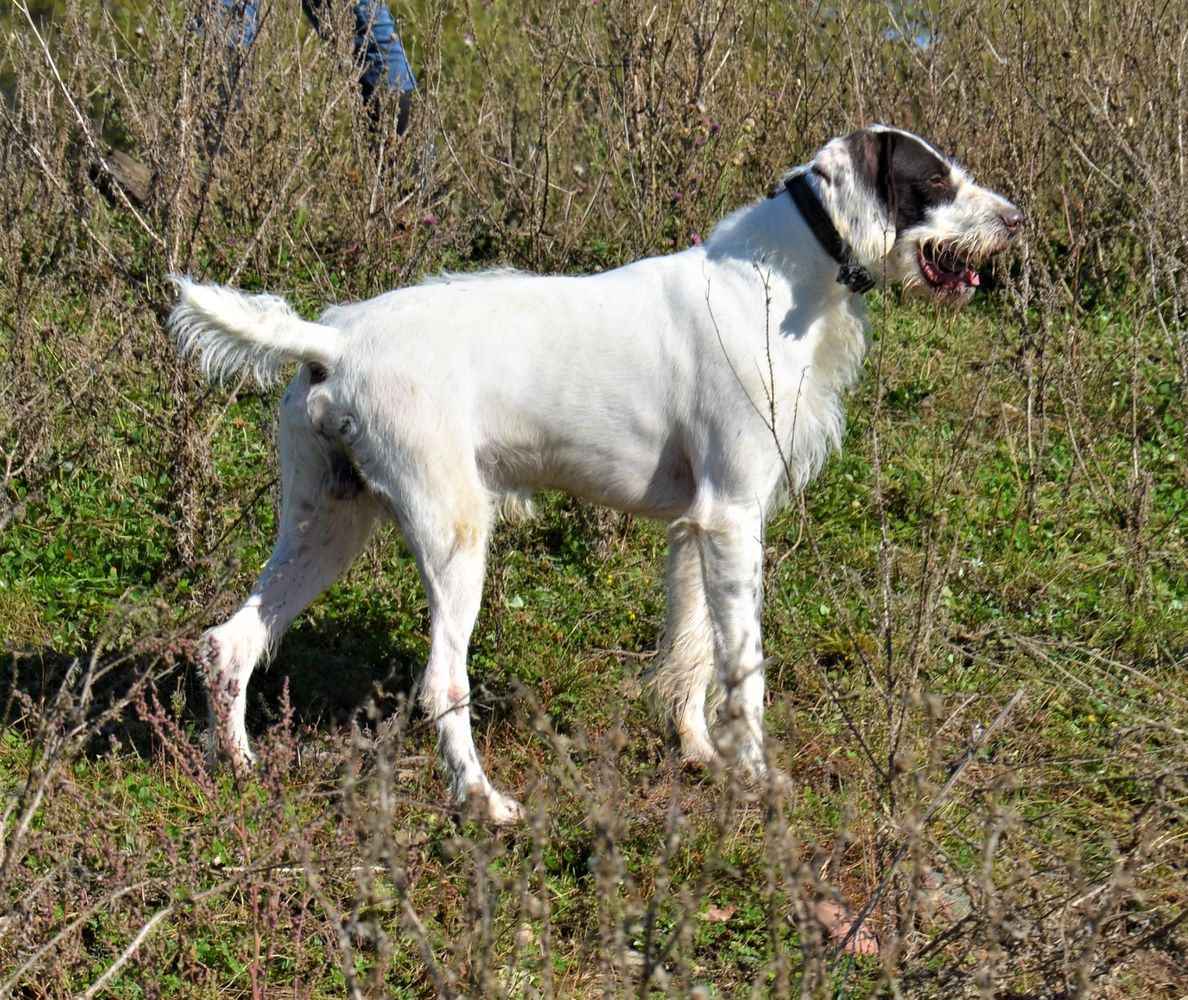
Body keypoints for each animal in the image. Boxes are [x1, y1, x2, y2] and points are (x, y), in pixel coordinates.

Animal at [167, 128, 1021, 821]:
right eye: (934, 179)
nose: (1016, 221)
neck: (776, 276)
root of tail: (333, 341)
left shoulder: (696, 527)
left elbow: (691, 653)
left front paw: (697, 752)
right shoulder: (733, 518)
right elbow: (742, 668)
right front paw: (755, 776)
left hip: (326, 524)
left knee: (229, 644)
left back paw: (238, 770)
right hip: (452, 535)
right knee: (442, 682)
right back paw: (483, 803)